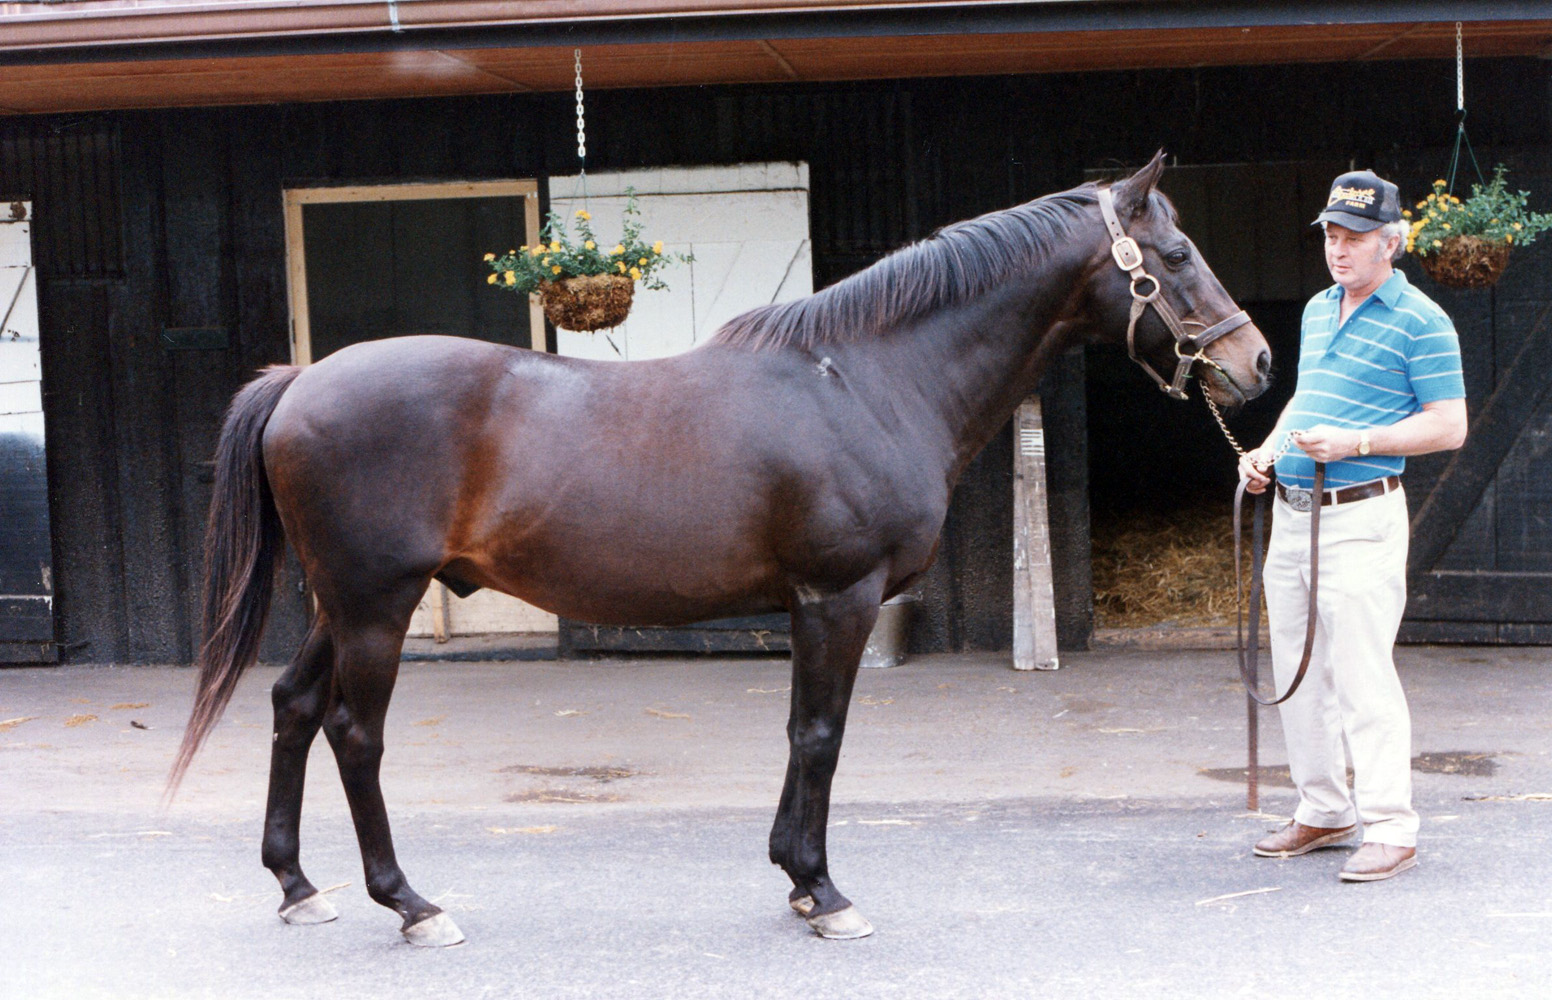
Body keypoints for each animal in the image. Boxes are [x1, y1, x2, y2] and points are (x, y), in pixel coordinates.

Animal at [173, 154, 1272, 944]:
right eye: (1176, 255)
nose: (1254, 362)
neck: (863, 378)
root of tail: (301, 383)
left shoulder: (806, 603)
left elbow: (797, 734)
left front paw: (795, 879)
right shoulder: (839, 595)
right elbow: (822, 736)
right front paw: (826, 892)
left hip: (343, 602)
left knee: (292, 707)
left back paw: (299, 886)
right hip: (376, 604)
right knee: (353, 733)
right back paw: (410, 904)